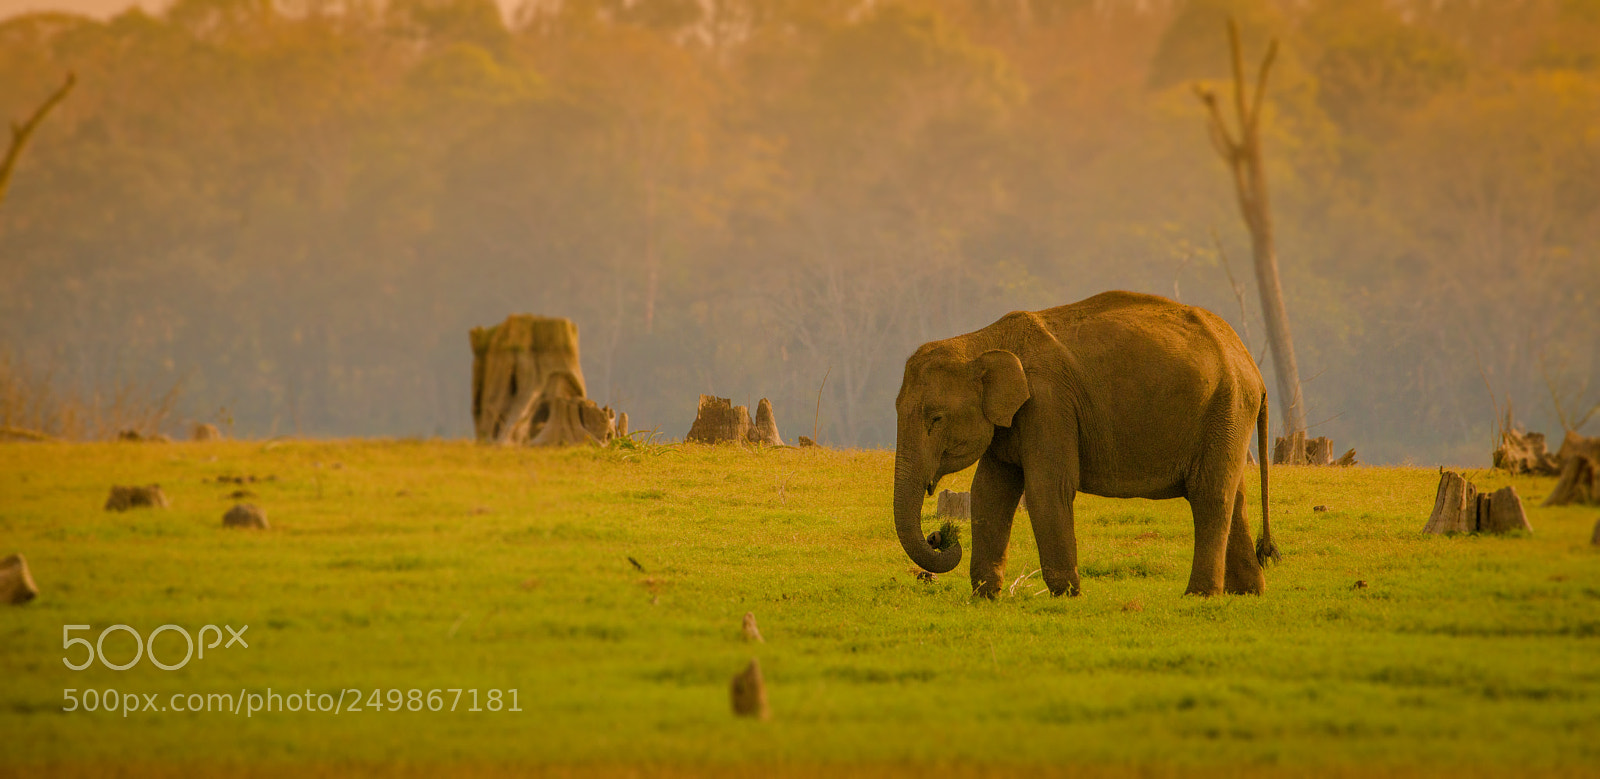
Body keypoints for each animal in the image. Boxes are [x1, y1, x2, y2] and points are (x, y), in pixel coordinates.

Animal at [892, 290, 1278, 597]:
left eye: (935, 419)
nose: (940, 536)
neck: (981, 340)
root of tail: (1254, 372)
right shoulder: (1014, 420)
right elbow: (990, 492)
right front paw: (986, 596)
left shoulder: (1048, 404)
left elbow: (1047, 489)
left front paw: (1068, 595)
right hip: (1227, 416)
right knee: (1235, 497)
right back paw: (1248, 592)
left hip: (1225, 407)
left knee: (1211, 495)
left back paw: (1198, 596)